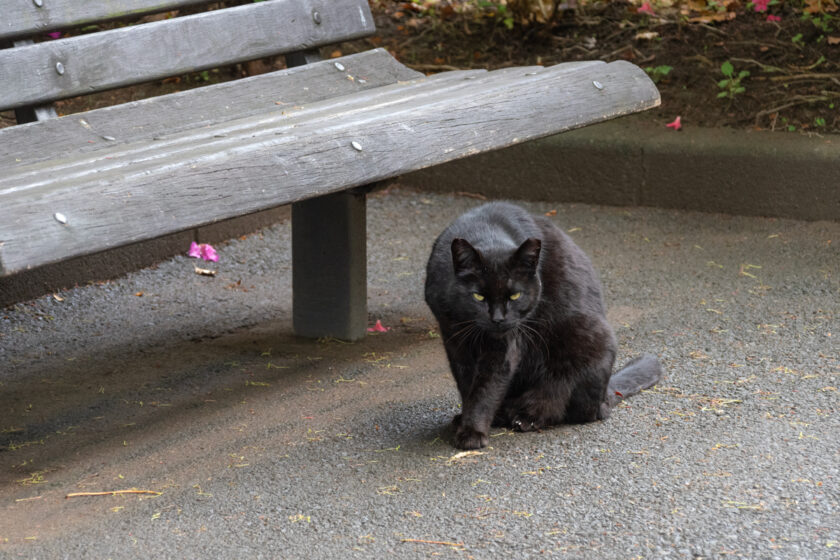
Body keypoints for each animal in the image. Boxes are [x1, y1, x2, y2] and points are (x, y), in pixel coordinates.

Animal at [426, 202, 664, 450]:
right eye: (479, 297)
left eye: (515, 295)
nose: (499, 319)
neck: (486, 230)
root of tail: (607, 394)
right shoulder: (453, 337)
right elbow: (466, 384)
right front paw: (466, 421)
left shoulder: (504, 345)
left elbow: (485, 389)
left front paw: (472, 433)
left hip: (589, 340)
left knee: (569, 403)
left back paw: (526, 416)